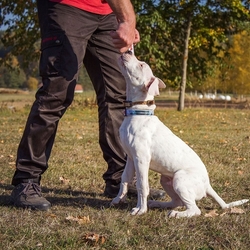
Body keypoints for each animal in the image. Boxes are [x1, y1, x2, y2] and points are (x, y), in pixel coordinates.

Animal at [112, 50, 249, 217]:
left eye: (141, 65)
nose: (128, 51)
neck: (138, 112)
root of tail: (207, 184)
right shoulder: (131, 158)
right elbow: (124, 179)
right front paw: (118, 199)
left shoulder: (141, 159)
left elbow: (142, 185)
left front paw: (140, 210)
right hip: (166, 179)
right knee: (177, 201)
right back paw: (159, 204)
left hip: (180, 179)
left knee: (194, 209)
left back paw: (177, 214)